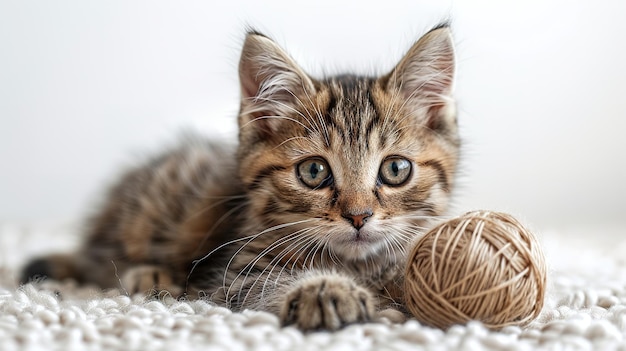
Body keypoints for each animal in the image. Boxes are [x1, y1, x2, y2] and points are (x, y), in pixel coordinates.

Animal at [20, 23, 458, 332]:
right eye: (313, 171)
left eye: (395, 169)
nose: (359, 216)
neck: (358, 265)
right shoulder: (238, 270)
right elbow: (267, 283)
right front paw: (325, 290)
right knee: (99, 259)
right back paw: (151, 275)